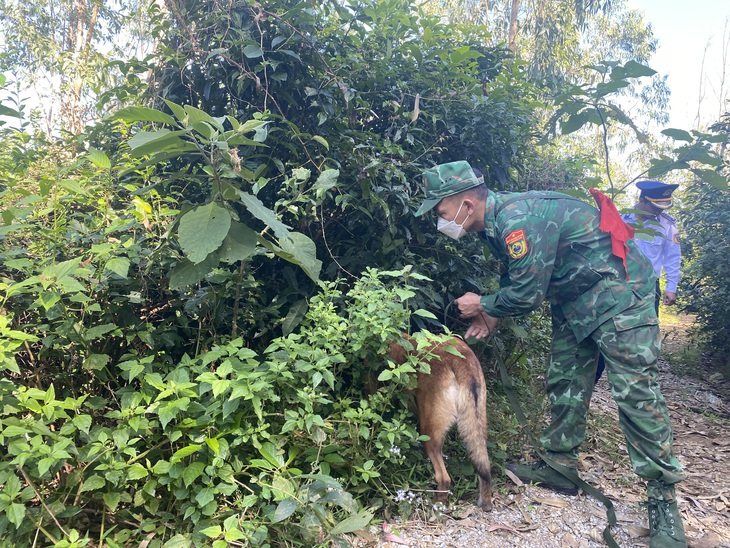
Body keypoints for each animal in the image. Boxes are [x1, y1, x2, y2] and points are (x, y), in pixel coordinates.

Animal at [386, 336, 490, 512]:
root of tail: (461, 360)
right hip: (478, 425)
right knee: (485, 469)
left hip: (428, 433)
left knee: (444, 478)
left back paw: (435, 506)